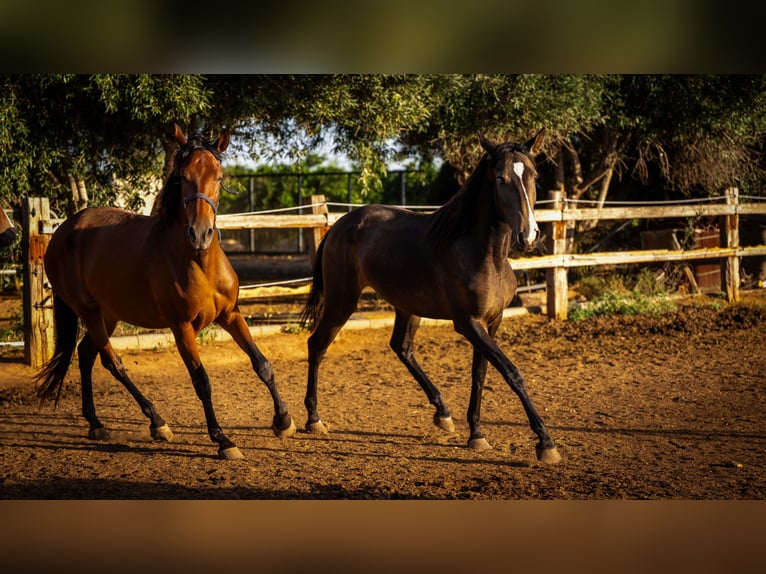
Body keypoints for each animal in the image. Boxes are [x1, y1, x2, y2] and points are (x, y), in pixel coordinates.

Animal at [35, 125, 296, 460]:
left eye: (219, 177)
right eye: (183, 176)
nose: (200, 234)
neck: (197, 262)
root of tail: (62, 231)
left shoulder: (230, 314)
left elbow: (262, 364)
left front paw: (283, 421)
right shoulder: (181, 327)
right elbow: (202, 381)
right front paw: (223, 440)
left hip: (108, 315)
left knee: (85, 354)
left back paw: (96, 424)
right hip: (89, 312)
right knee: (112, 362)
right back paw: (157, 422)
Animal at [301, 129, 560, 464]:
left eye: (534, 175)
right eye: (500, 178)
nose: (528, 236)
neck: (483, 254)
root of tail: (338, 226)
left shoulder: (492, 322)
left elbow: (481, 374)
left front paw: (476, 434)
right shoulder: (468, 324)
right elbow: (511, 372)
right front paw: (545, 442)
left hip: (406, 306)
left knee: (401, 347)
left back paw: (443, 413)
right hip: (341, 301)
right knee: (317, 345)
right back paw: (314, 419)